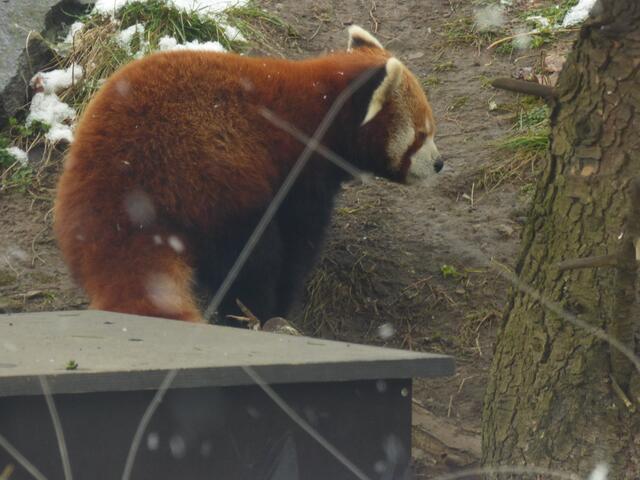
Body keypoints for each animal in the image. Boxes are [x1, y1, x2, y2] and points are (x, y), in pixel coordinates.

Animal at [53, 26, 442, 324]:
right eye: (421, 134)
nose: (440, 163)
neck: (321, 111)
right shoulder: (299, 172)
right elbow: (298, 243)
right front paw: (286, 299)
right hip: (212, 184)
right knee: (253, 261)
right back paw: (257, 314)